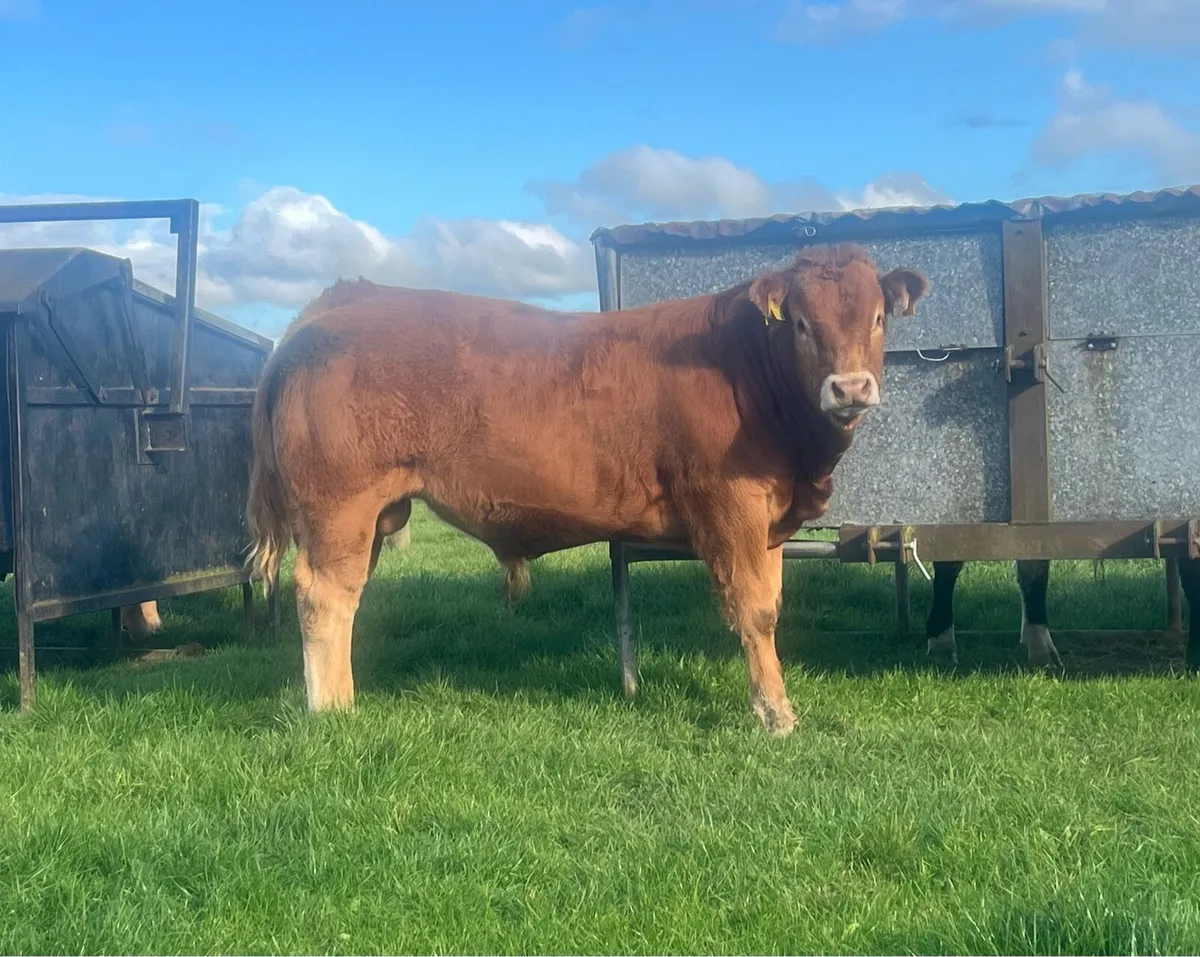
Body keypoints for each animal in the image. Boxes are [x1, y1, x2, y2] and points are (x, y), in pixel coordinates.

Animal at [244, 244, 930, 735]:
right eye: (804, 326)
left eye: (877, 318)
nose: (850, 388)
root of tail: (342, 302)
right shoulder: (729, 505)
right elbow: (753, 611)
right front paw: (774, 714)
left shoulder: (768, 523)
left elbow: (771, 606)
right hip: (339, 505)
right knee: (324, 596)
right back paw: (333, 710)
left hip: (375, 512)